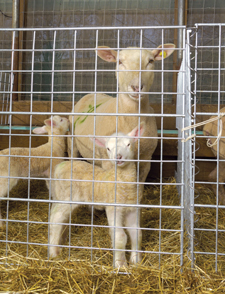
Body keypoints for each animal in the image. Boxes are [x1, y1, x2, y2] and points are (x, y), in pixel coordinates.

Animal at [48, 121, 145, 268]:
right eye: (108, 148)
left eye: (129, 144)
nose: (118, 157)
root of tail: (61, 166)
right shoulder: (112, 208)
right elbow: (120, 236)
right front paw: (120, 265)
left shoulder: (132, 208)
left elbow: (136, 233)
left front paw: (136, 261)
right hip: (68, 197)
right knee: (56, 218)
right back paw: (53, 252)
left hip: (60, 195)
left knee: (57, 214)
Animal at [67, 43, 176, 191]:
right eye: (119, 61)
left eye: (151, 61)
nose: (136, 87)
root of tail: (92, 94)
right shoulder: (107, 160)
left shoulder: (145, 160)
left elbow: (138, 188)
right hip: (72, 142)